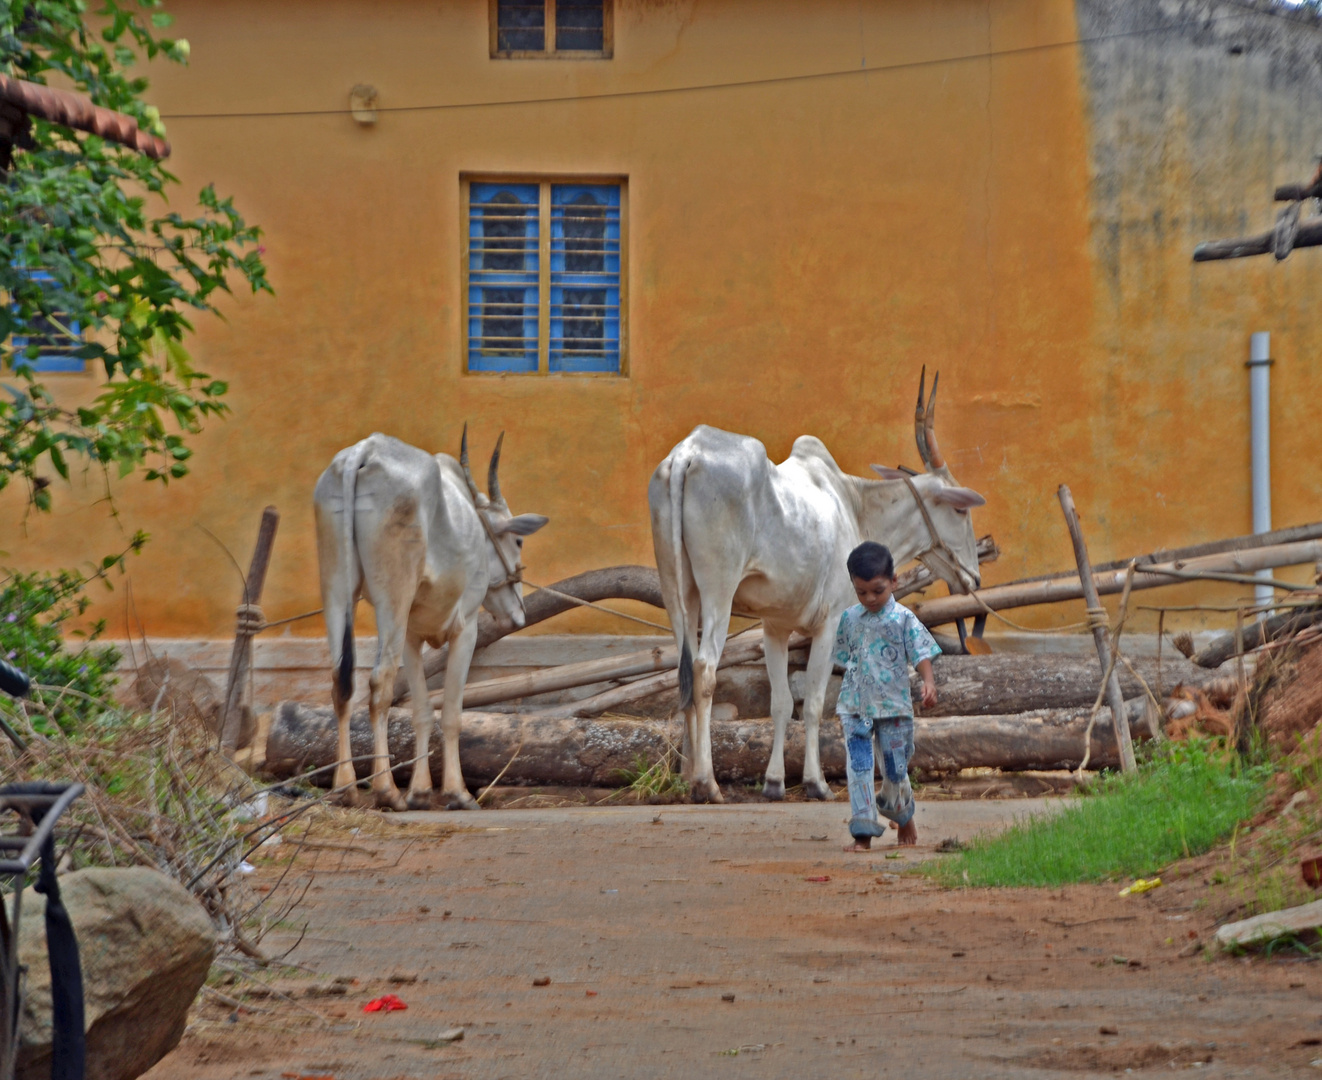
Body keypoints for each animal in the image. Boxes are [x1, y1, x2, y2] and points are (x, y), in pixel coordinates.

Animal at [314, 430, 547, 809]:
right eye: (518, 541)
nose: (518, 614)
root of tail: (365, 450)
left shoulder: (412, 637)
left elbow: (422, 713)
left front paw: (421, 790)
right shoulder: (466, 629)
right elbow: (451, 713)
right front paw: (456, 791)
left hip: (336, 590)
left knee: (341, 684)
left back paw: (345, 787)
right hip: (392, 597)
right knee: (379, 683)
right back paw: (386, 790)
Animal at [647, 370, 983, 798]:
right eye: (959, 510)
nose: (973, 576)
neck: (854, 504)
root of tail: (687, 454)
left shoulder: (774, 628)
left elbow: (781, 703)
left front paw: (775, 782)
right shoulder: (831, 621)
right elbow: (814, 702)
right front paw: (816, 781)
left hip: (677, 589)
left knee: (684, 670)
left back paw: (687, 776)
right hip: (718, 590)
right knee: (704, 671)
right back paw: (707, 782)